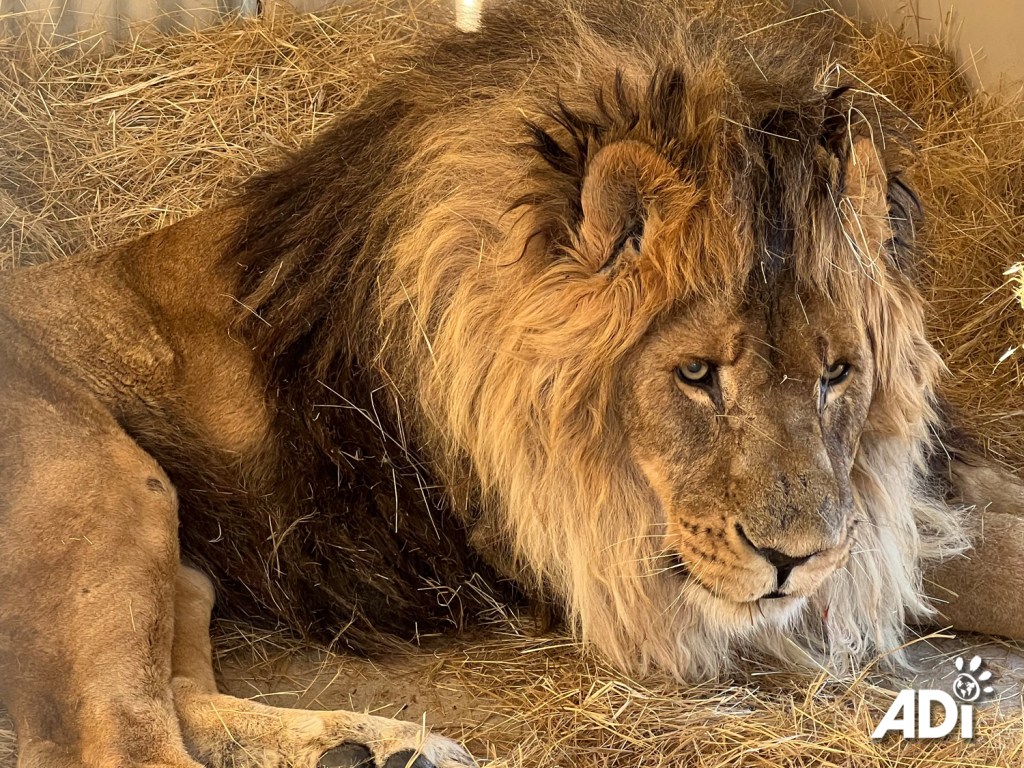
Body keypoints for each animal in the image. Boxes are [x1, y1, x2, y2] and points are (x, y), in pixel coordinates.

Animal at [2, 1, 1024, 766]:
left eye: (837, 374)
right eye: (697, 375)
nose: (792, 560)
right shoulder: (611, 555)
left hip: (179, 558)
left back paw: (370, 750)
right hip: (113, 488)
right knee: (112, 738)